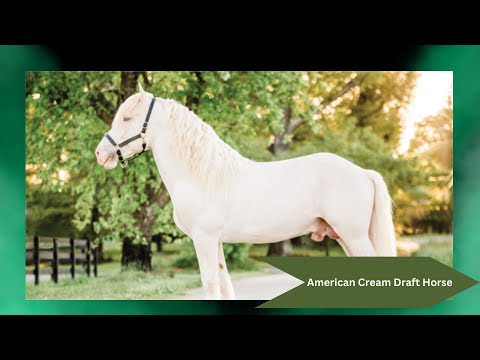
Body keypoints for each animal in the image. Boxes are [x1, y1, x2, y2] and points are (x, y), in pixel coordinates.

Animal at [95, 83, 396, 298]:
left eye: (127, 117)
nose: (100, 153)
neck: (203, 175)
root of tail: (363, 172)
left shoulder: (204, 240)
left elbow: (210, 284)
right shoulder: (215, 242)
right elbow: (224, 284)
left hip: (354, 236)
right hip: (344, 237)